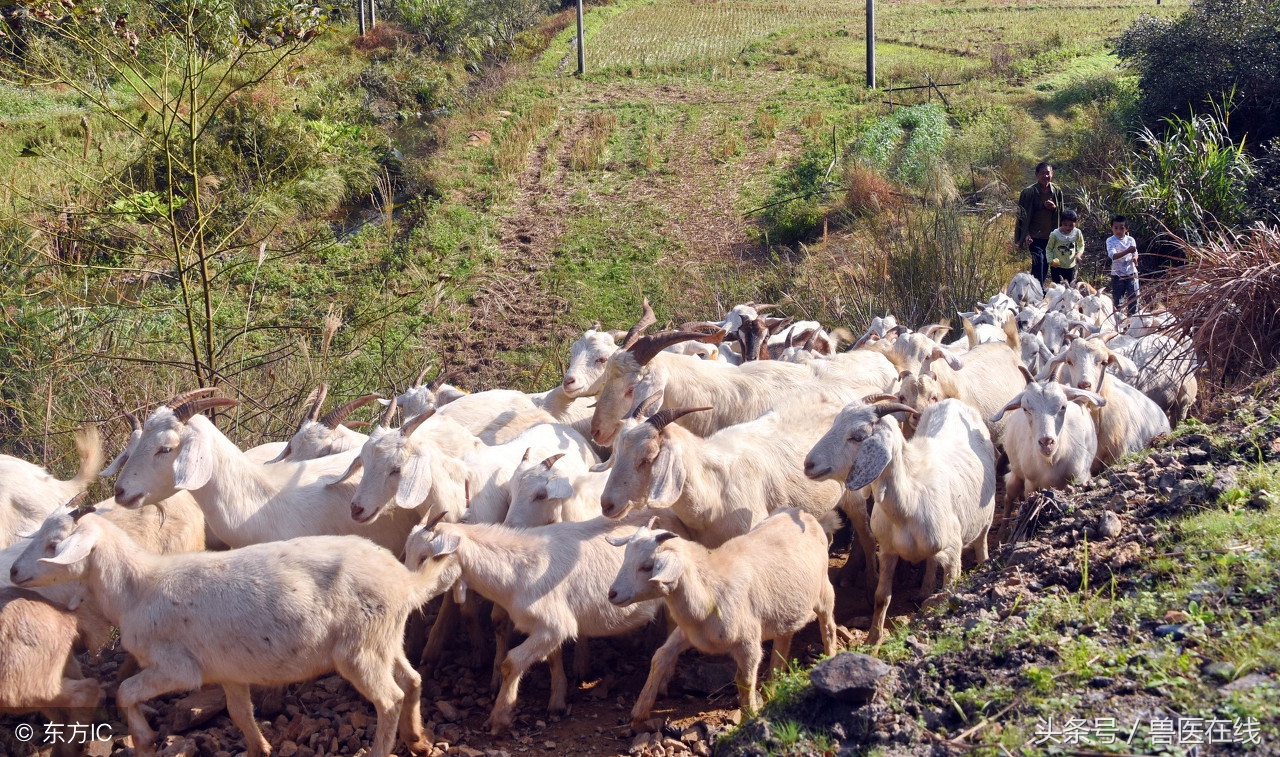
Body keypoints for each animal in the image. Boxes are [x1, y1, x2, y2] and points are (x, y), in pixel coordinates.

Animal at [11, 514, 430, 757]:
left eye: (54, 545)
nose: (14, 572)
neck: (137, 588)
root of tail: (405, 581)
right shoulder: (229, 670)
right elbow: (240, 713)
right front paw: (260, 748)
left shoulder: (177, 668)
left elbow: (125, 691)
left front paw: (144, 741)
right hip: (386, 639)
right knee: (412, 680)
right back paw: (418, 741)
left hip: (360, 648)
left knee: (389, 698)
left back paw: (383, 749)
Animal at [609, 512, 839, 727]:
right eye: (626, 557)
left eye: (648, 566)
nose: (612, 594)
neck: (709, 588)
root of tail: (808, 516)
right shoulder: (688, 633)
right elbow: (660, 656)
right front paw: (639, 710)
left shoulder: (748, 643)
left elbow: (744, 680)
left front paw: (749, 716)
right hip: (786, 609)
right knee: (783, 642)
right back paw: (772, 688)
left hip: (824, 592)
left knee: (828, 628)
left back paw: (830, 661)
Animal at [803, 397, 993, 645]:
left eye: (858, 436)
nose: (808, 464)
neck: (909, 500)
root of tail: (952, 402)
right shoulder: (887, 550)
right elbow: (882, 596)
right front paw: (873, 640)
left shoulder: (953, 551)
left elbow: (949, 591)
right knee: (931, 561)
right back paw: (924, 589)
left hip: (987, 516)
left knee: (982, 541)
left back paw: (984, 564)